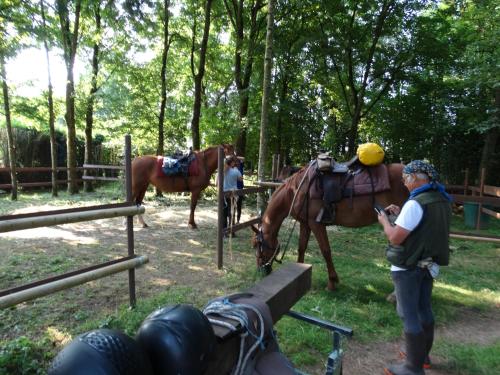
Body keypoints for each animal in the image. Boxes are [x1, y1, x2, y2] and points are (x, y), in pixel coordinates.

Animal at [252, 164, 408, 290]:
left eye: (257, 245)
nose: (260, 271)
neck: (297, 190)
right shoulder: (305, 223)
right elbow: (301, 247)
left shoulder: (316, 224)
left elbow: (326, 251)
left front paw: (332, 283)